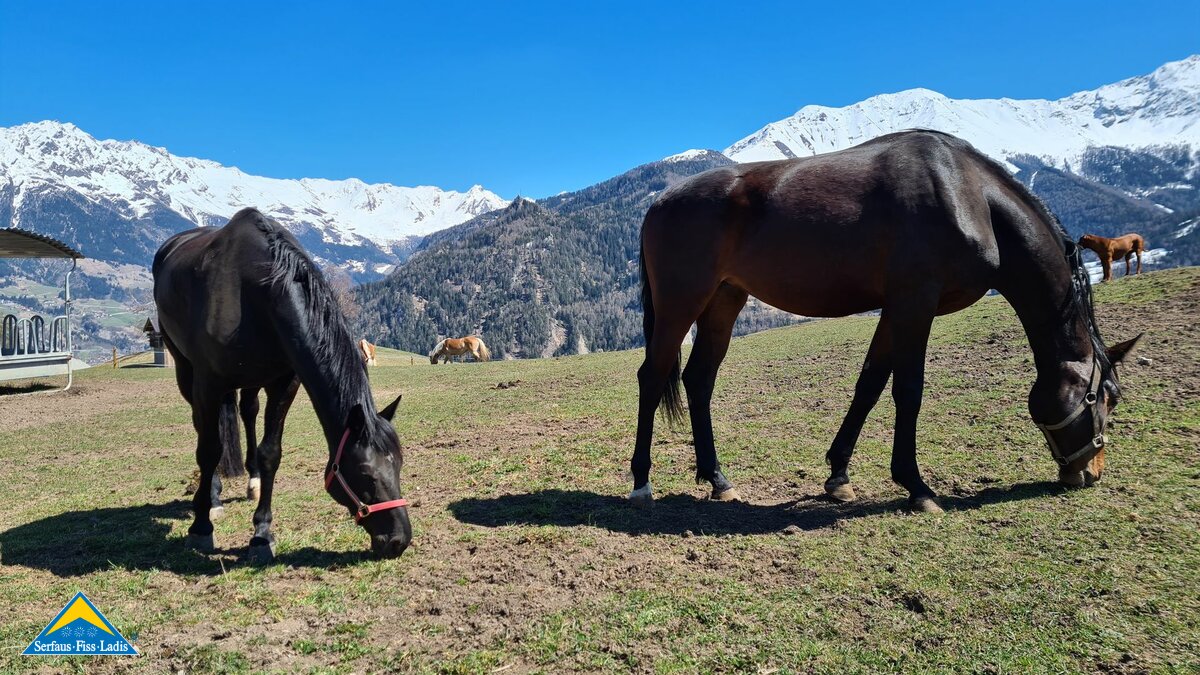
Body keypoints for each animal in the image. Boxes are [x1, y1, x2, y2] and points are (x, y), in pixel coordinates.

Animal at [153, 208, 411, 562]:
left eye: (399, 465)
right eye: (366, 473)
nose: (400, 540)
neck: (254, 292)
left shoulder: (285, 381)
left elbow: (270, 453)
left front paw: (262, 534)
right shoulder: (208, 382)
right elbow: (208, 449)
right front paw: (202, 527)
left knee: (248, 411)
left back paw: (253, 481)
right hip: (185, 368)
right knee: (203, 428)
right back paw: (213, 497)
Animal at [631, 130, 1144, 512]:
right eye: (1106, 396)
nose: (1089, 473)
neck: (969, 194)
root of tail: (659, 202)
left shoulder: (895, 308)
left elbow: (870, 384)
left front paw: (838, 474)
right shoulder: (916, 302)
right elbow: (908, 390)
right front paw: (916, 486)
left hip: (724, 299)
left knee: (699, 379)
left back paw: (718, 479)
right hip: (681, 302)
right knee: (652, 376)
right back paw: (641, 481)